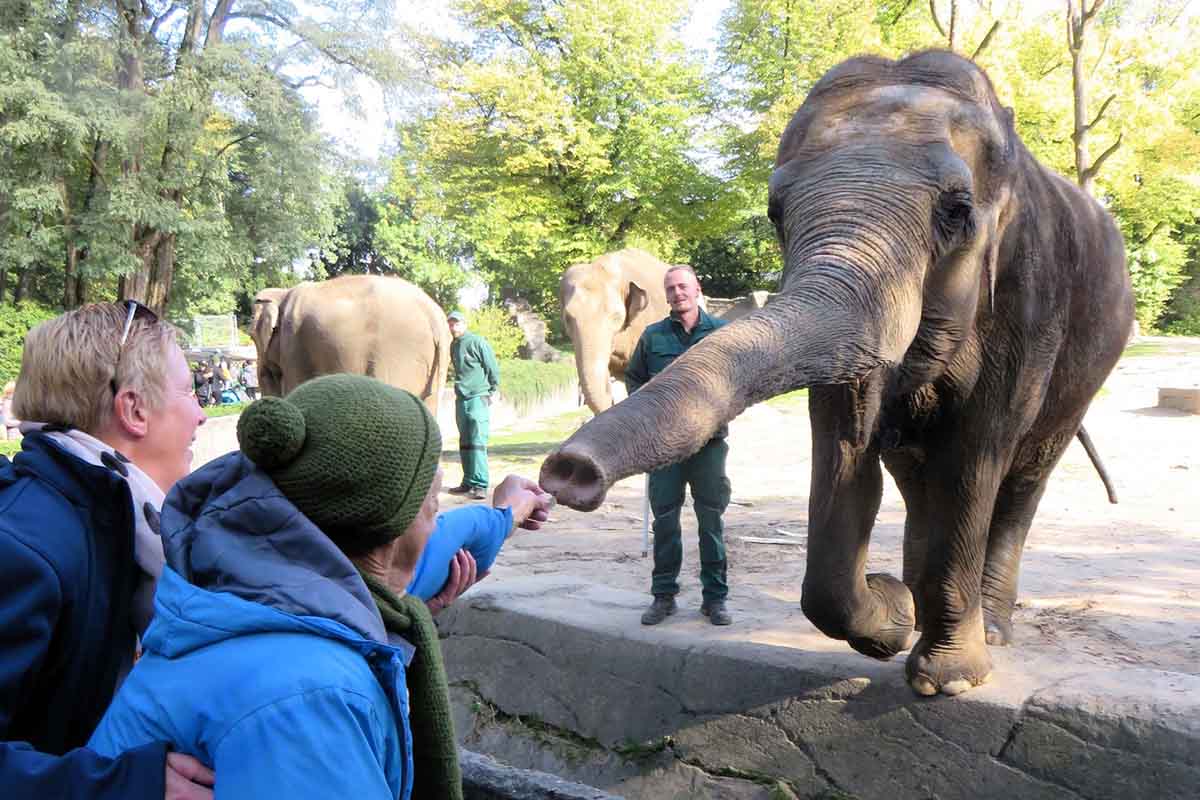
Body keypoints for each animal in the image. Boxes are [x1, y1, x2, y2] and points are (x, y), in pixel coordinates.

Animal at [540, 51, 1128, 700]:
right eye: (775, 214)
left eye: (957, 212)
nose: (568, 471)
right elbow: (846, 455)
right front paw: (892, 618)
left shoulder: (1028, 305)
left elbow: (972, 462)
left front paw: (947, 681)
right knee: (915, 476)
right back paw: (917, 606)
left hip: (1086, 364)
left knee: (1022, 477)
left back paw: (991, 631)